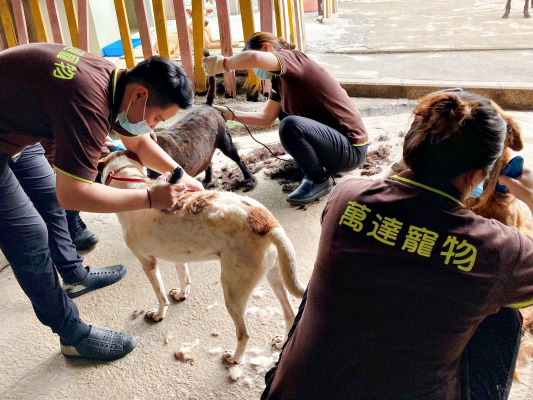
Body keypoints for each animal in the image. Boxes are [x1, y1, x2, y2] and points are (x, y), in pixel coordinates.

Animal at [96, 152, 304, 364]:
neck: (132, 183)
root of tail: (266, 223)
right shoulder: (178, 255)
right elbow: (184, 277)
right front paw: (181, 294)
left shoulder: (148, 263)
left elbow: (160, 296)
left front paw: (158, 314)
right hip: (275, 276)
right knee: (289, 314)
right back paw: (281, 342)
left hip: (233, 292)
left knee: (244, 334)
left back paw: (234, 358)